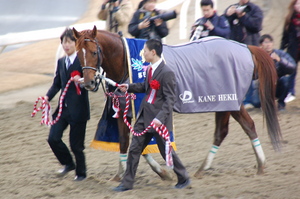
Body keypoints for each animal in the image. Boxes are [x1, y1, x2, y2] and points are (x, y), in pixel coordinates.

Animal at [72, 26, 282, 179]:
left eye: (93, 52)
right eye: (78, 54)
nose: (89, 83)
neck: (126, 62)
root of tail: (246, 48)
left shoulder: (143, 110)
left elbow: (140, 141)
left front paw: (163, 172)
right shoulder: (125, 110)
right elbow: (126, 142)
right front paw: (121, 174)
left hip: (229, 102)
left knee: (235, 128)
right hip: (228, 103)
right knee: (235, 129)